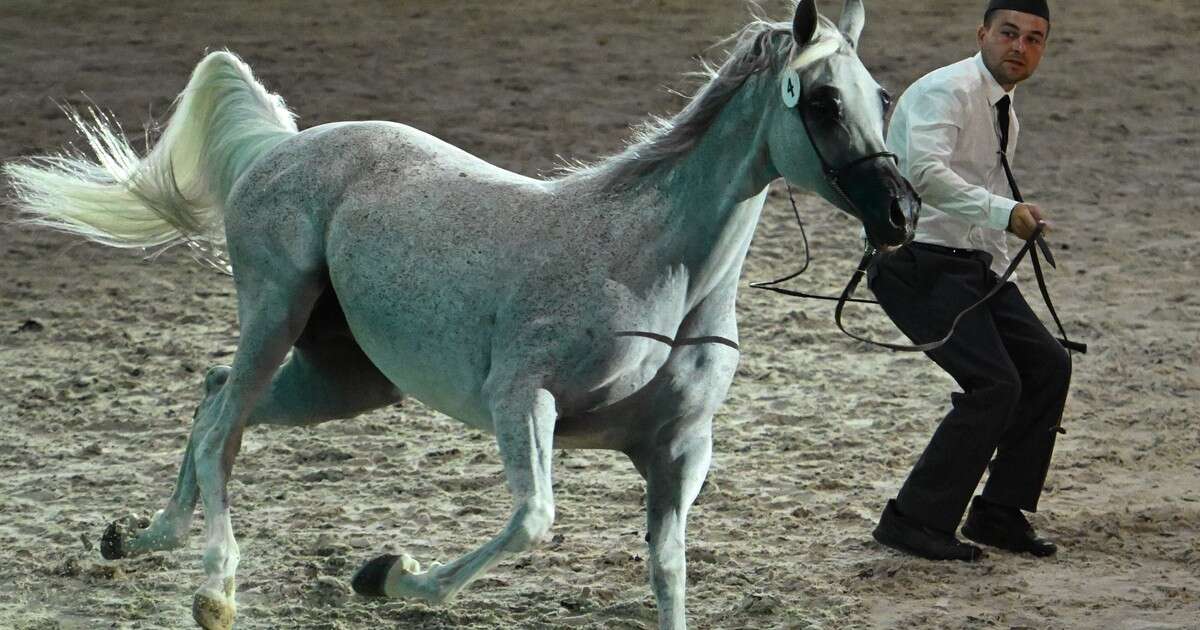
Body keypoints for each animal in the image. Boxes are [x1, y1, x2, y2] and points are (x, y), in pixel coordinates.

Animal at [2, 2, 916, 624]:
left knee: (214, 396)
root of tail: (283, 145)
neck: (654, 268)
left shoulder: (679, 450)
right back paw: (214, 586)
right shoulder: (522, 400)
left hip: (345, 378)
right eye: (822, 102)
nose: (900, 214)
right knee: (223, 420)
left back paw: (143, 538)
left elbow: (668, 573)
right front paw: (388, 575)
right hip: (274, 309)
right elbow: (533, 521)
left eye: (880, 94)